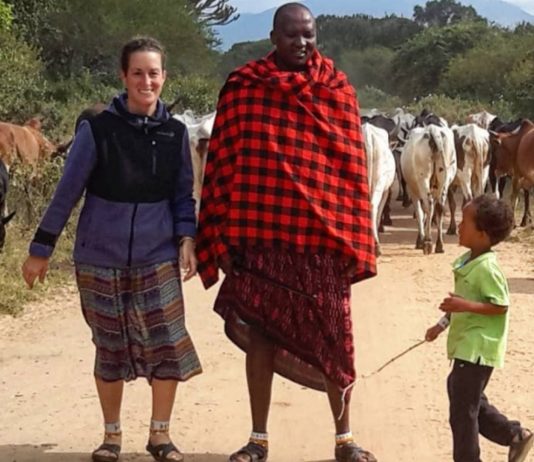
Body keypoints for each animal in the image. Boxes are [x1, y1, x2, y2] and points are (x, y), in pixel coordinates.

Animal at [404, 124, 458, 254]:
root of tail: (434, 130)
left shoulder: (413, 191)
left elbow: (420, 213)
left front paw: (420, 239)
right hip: (444, 180)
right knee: (439, 207)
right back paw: (439, 244)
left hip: (423, 179)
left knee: (429, 206)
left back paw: (428, 242)